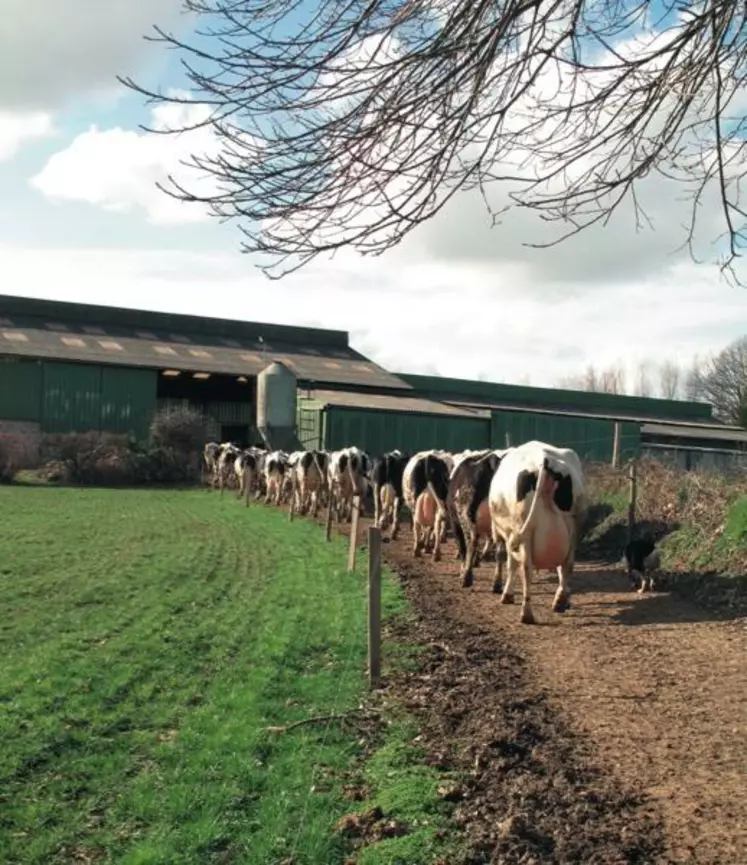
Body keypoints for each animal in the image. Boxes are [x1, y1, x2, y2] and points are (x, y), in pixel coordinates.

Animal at [448, 448, 512, 592]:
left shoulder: (455, 522)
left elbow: (462, 547)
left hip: (466, 515)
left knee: (471, 541)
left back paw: (466, 578)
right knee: (500, 550)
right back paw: (497, 584)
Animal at [490, 442, 592, 624]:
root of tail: (545, 459)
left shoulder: (508, 534)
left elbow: (511, 564)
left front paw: (507, 594)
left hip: (524, 531)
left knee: (526, 569)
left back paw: (527, 613)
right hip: (573, 526)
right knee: (567, 565)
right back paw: (560, 601)